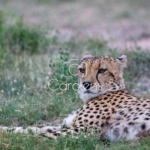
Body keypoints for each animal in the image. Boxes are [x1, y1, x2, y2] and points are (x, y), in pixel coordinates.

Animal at [0, 54, 150, 141]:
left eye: (102, 70)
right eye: (82, 70)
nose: (86, 84)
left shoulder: (82, 131)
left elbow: (36, 136)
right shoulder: (67, 125)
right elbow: (34, 128)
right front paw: (6, 130)